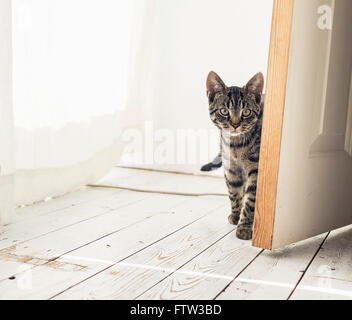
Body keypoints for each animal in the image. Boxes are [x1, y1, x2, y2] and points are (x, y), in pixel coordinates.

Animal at [204, 70, 264, 240]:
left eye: (246, 112)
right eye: (224, 111)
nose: (236, 124)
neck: (236, 146)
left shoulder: (256, 169)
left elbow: (250, 200)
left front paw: (244, 227)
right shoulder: (230, 170)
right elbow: (234, 193)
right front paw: (236, 215)